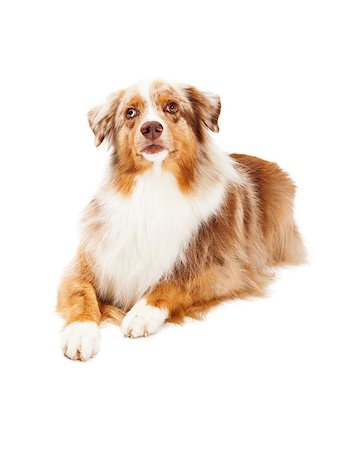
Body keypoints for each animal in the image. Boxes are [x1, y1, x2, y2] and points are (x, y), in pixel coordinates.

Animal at [57, 79, 306, 360]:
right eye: (130, 112)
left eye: (172, 106)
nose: (151, 127)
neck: (154, 185)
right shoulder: (85, 263)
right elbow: (81, 294)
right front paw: (80, 333)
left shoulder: (227, 271)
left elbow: (174, 284)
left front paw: (140, 314)